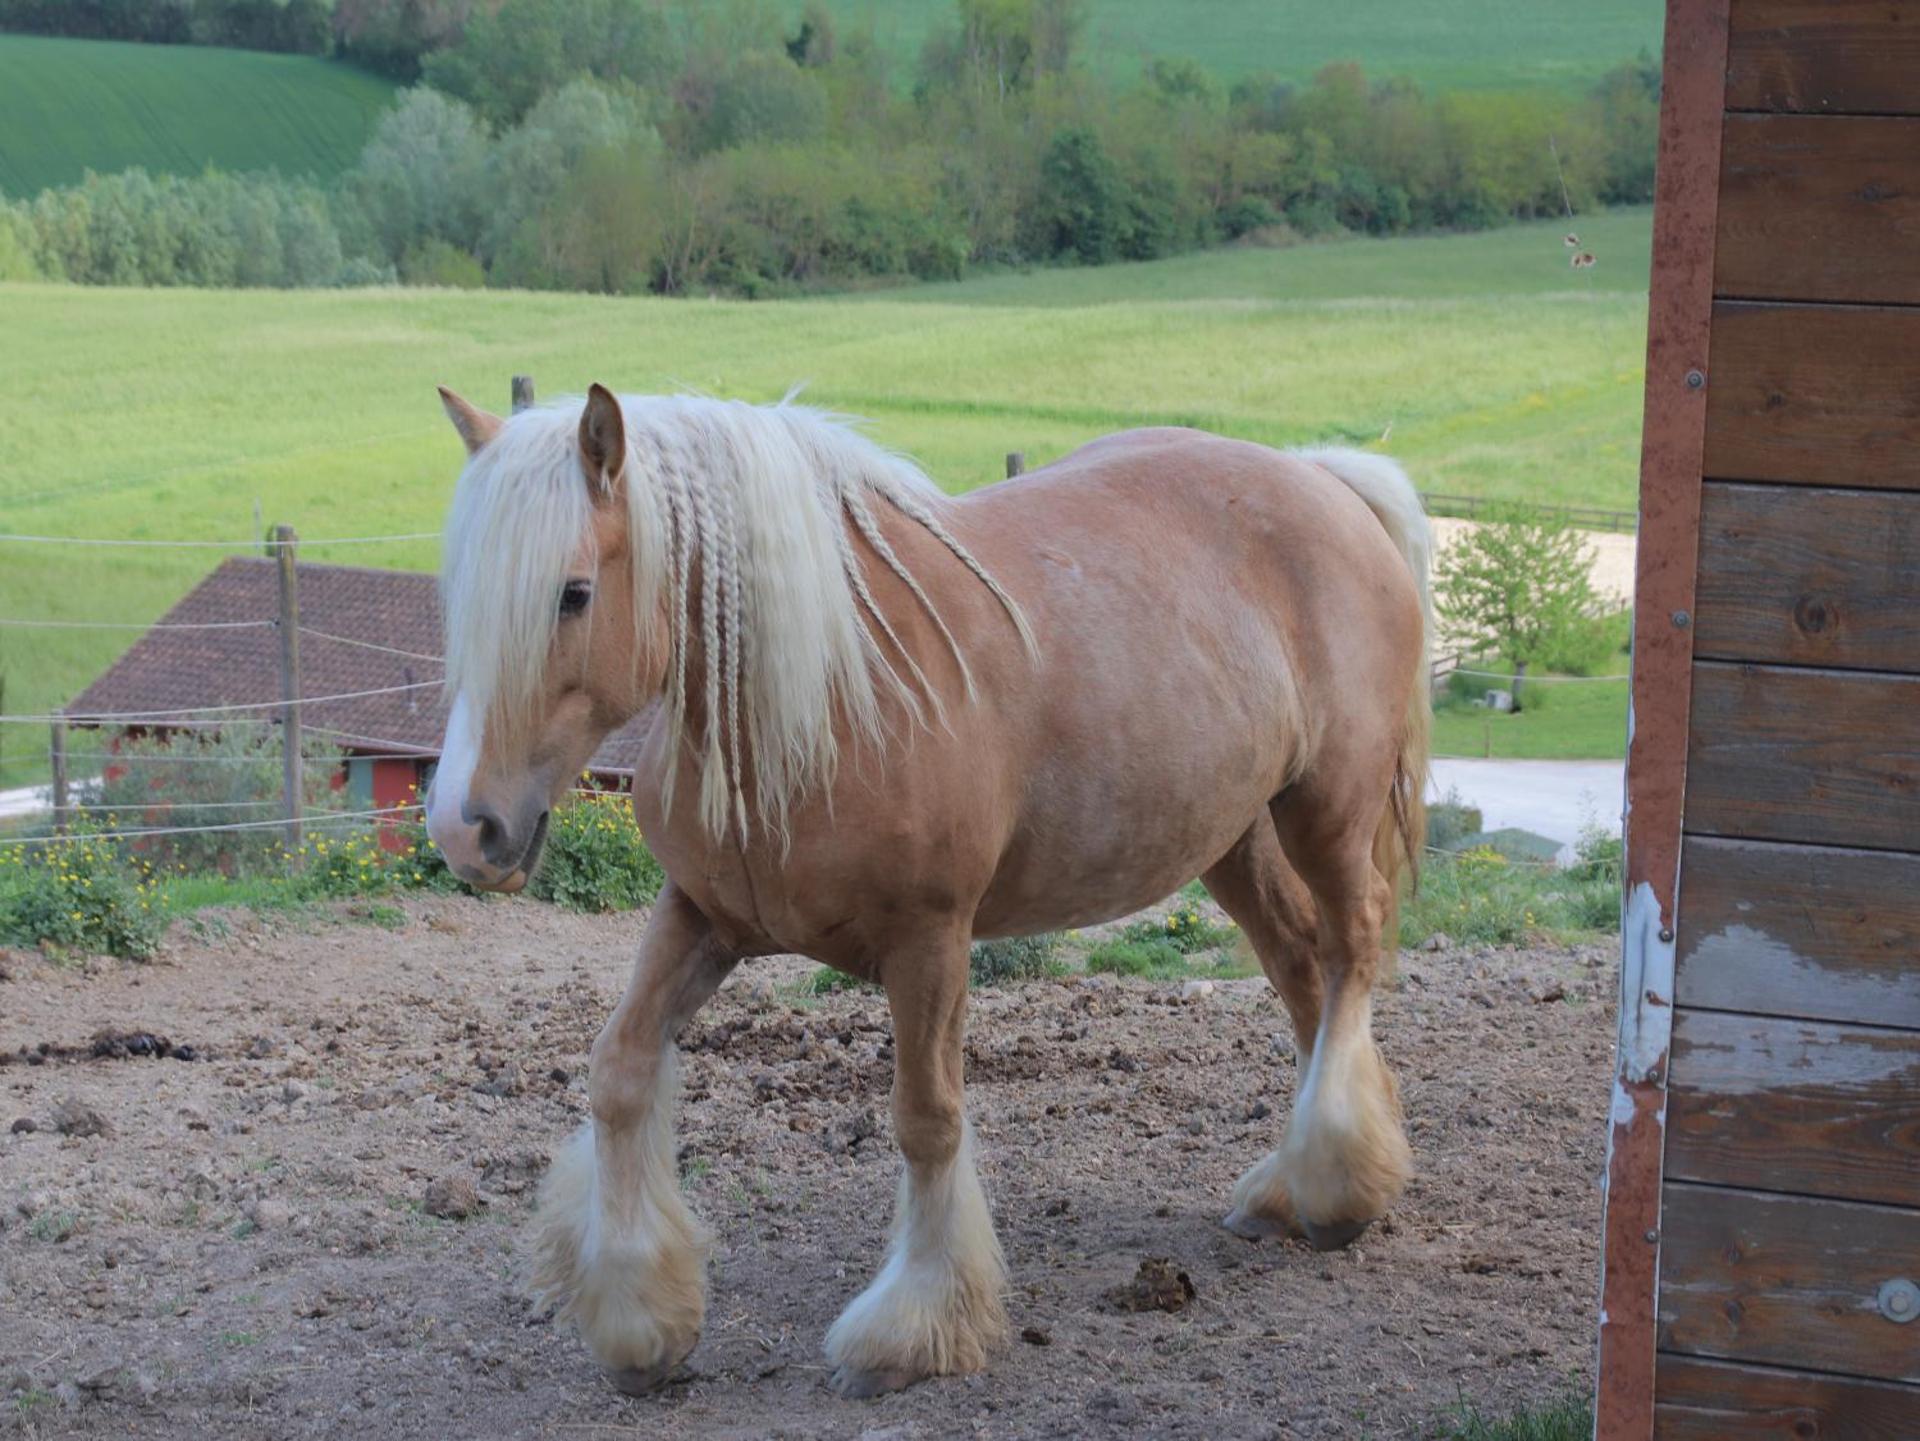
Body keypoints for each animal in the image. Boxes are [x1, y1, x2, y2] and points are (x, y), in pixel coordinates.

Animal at [425, 383, 1431, 1399]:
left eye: (574, 592)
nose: (467, 830)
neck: (829, 694)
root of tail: (1321, 479)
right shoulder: (702, 915)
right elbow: (622, 1073)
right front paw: (638, 1321)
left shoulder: (930, 940)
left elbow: (926, 1119)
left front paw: (910, 1328)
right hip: (1234, 840)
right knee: (1303, 971)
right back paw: (1295, 1187)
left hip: (1326, 811)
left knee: (1351, 950)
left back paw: (1337, 1187)